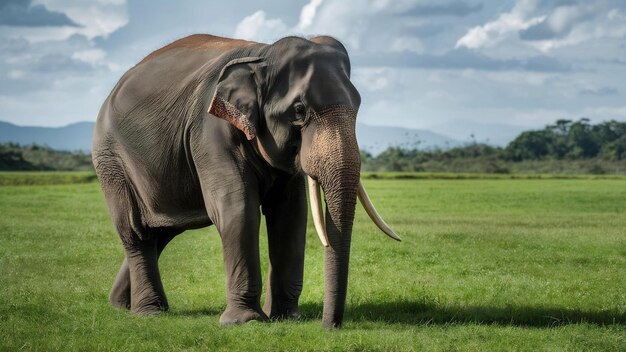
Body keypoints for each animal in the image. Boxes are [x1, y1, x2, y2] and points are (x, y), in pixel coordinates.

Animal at [90, 34, 398, 328]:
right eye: (299, 110)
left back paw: (121, 305)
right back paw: (149, 313)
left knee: (162, 231)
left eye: (358, 104)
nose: (328, 327)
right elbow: (238, 208)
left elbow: (290, 212)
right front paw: (245, 322)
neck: (262, 54)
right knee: (136, 231)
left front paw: (286, 318)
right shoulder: (210, 130)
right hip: (110, 160)